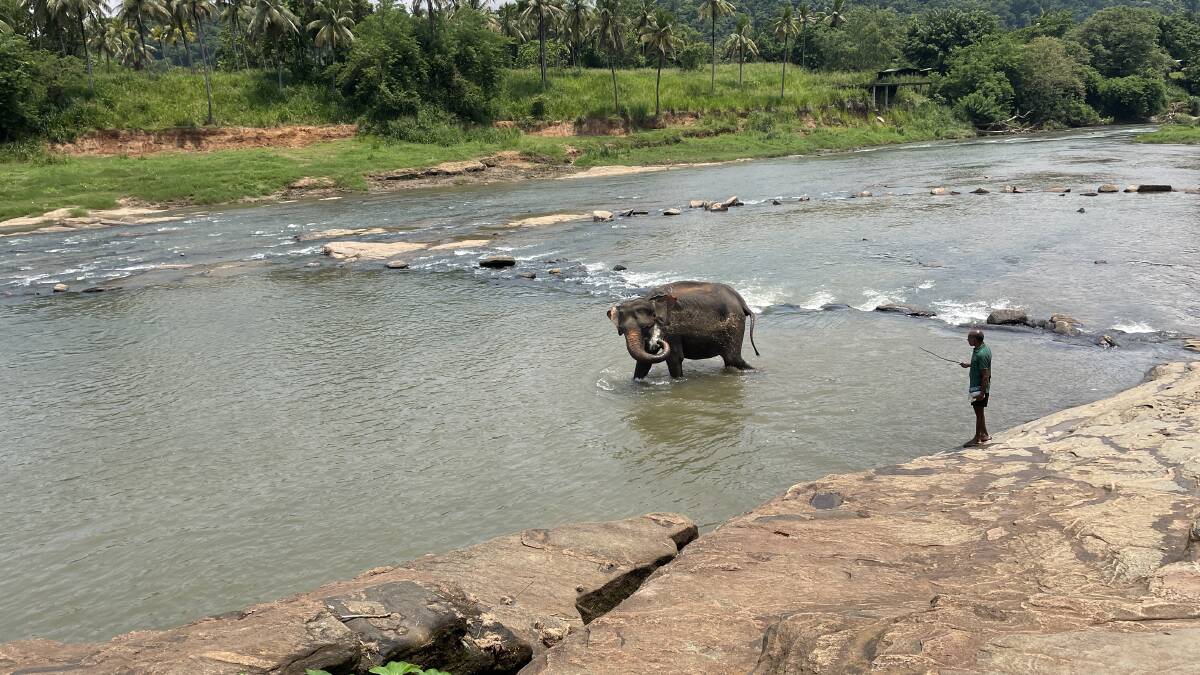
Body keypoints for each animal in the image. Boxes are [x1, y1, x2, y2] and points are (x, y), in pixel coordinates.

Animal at [607, 281, 760, 379]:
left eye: (647, 326)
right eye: (621, 330)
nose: (658, 342)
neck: (649, 299)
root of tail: (743, 303)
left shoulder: (671, 329)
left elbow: (674, 358)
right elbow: (644, 361)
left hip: (734, 324)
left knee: (734, 359)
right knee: (731, 361)